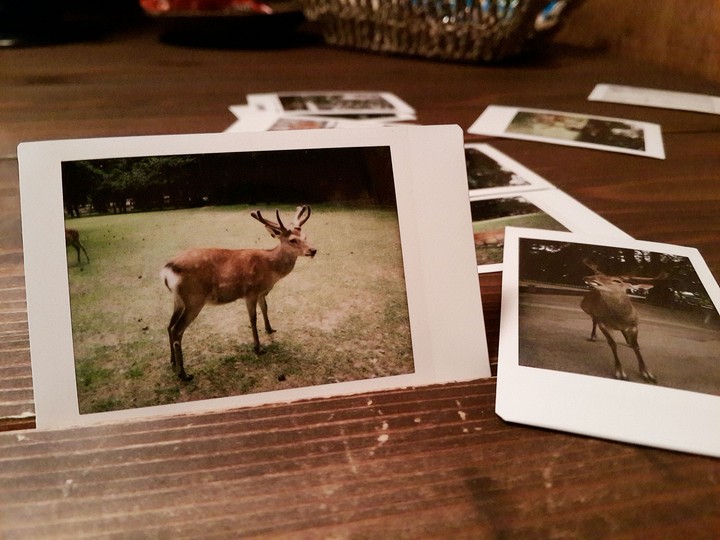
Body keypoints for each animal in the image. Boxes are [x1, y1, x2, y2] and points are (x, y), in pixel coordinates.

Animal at [160, 206, 316, 381]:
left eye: (305, 236)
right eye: (292, 240)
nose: (313, 250)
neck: (270, 270)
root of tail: (167, 271)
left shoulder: (261, 292)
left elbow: (265, 309)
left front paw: (270, 329)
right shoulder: (250, 292)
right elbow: (253, 319)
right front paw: (258, 348)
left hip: (179, 300)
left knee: (169, 326)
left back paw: (173, 362)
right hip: (194, 299)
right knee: (177, 330)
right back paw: (184, 374)